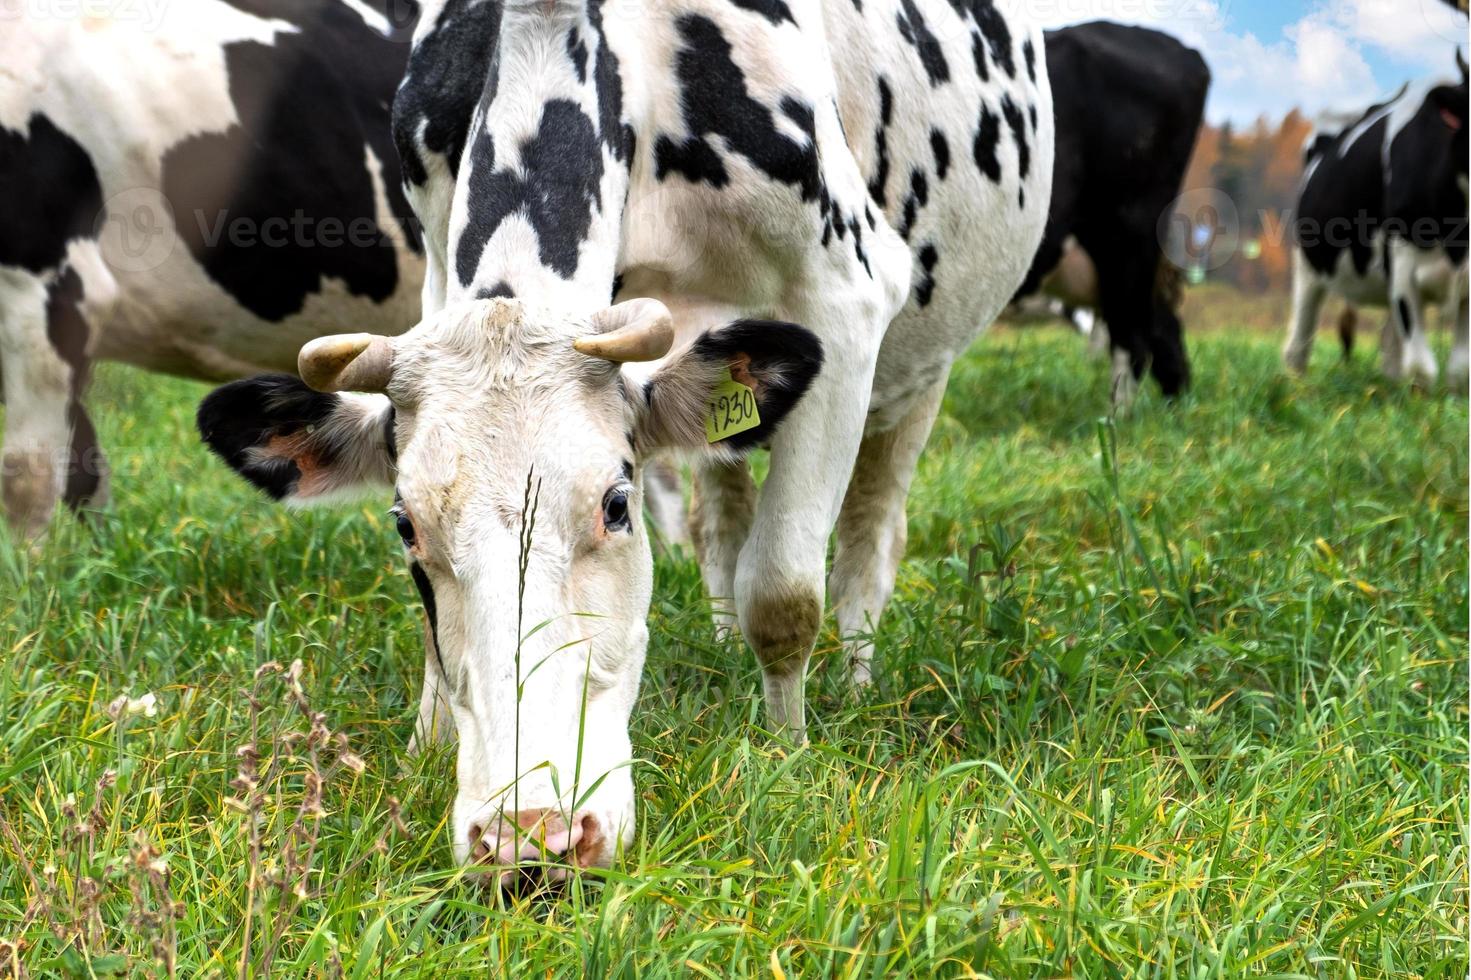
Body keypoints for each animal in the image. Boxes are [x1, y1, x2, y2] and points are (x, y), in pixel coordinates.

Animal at [201, 0, 1059, 871]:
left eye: (616, 505)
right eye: (405, 525)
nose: (530, 834)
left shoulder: (842, 294)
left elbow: (782, 593)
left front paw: (788, 752)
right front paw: (425, 752)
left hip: (919, 372)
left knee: (867, 539)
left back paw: (852, 677)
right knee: (721, 522)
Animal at [1282, 54, 1465, 385]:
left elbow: (1460, 370)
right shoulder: (1404, 267)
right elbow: (1422, 368)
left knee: (1391, 346)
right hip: (1308, 263)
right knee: (1300, 338)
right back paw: (1294, 383)